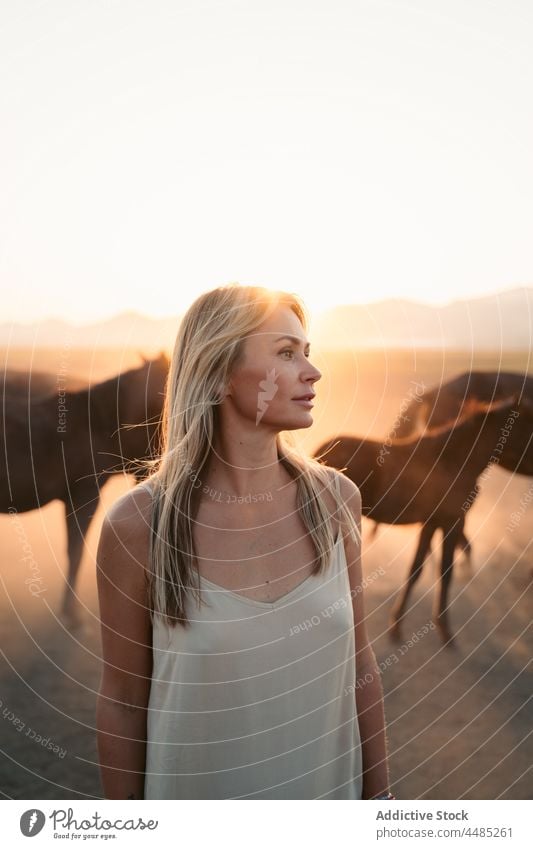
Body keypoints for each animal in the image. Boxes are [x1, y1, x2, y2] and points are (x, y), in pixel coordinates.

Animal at [314, 390, 528, 644]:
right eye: (530, 423)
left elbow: (419, 568)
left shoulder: (433, 523)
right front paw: (442, 629)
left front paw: (398, 625)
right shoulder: (449, 521)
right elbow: (441, 570)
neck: (452, 460)